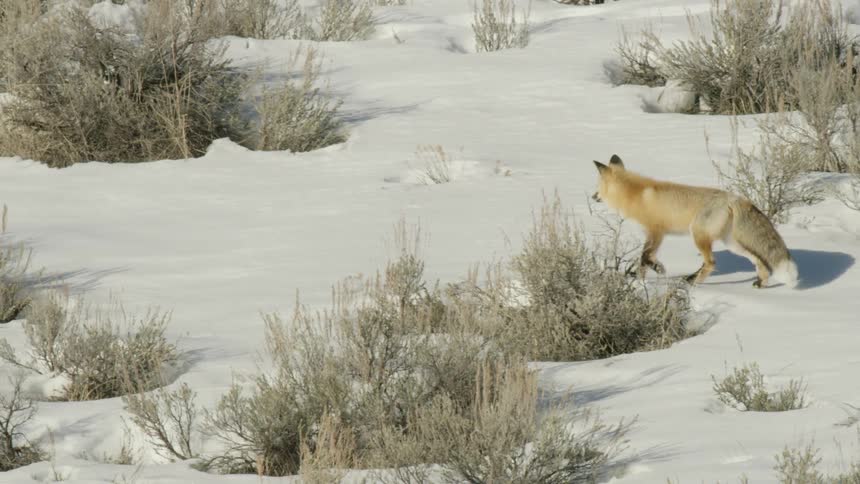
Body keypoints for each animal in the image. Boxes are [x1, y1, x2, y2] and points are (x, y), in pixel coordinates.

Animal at [591, 154, 798, 288]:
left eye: (597, 187)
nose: (593, 197)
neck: (634, 193)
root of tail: (734, 198)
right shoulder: (655, 234)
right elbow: (644, 259)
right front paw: (641, 280)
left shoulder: (656, 230)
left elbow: (645, 257)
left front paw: (655, 271)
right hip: (732, 244)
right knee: (757, 260)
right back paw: (761, 282)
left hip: (698, 235)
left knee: (711, 263)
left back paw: (694, 282)